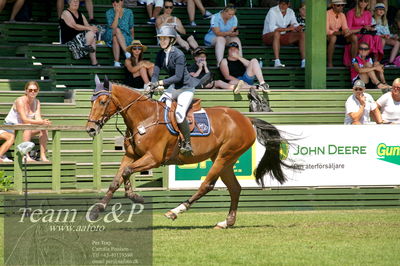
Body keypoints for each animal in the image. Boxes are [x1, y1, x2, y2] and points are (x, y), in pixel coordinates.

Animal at [86, 75, 290, 229]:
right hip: (225, 160)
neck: (145, 118)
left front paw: (135, 196)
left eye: (103, 102)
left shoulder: (153, 159)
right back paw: (227, 222)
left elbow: (127, 173)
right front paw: (98, 209)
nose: (90, 129)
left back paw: (176, 211)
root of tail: (246, 119)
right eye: (91, 101)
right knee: (235, 188)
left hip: (224, 156)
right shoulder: (130, 156)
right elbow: (117, 179)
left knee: (206, 185)